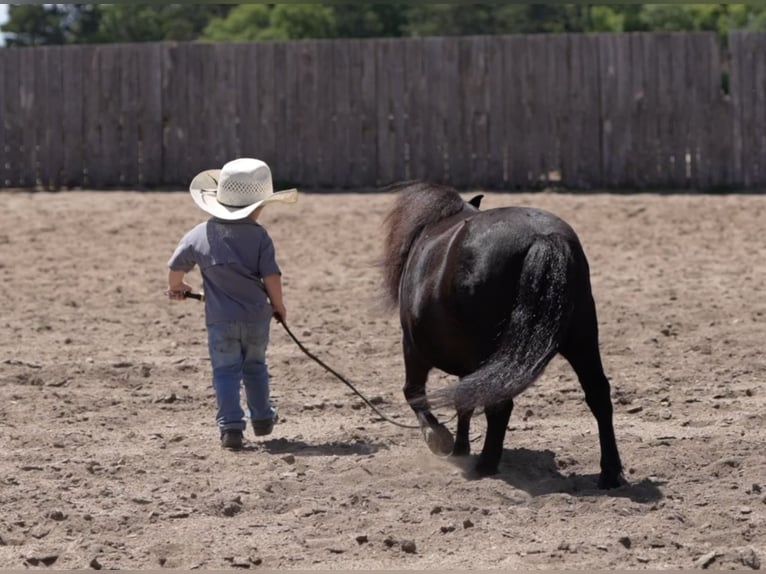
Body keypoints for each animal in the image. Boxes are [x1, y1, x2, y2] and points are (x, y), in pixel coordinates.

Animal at [382, 181, 624, 489]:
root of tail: (543, 237)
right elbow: (464, 401)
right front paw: (460, 448)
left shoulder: (413, 349)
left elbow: (413, 392)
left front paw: (440, 439)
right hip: (583, 339)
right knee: (598, 394)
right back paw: (610, 472)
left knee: (499, 405)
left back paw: (485, 465)